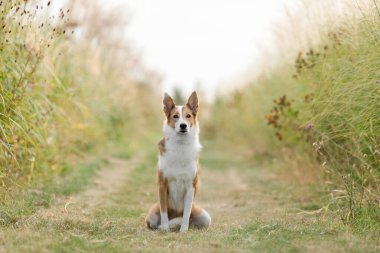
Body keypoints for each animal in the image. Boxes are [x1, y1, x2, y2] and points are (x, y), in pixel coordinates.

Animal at [145, 91, 211, 233]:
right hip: (151, 215)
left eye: (188, 116)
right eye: (175, 116)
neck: (180, 145)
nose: (183, 125)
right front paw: (165, 228)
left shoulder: (191, 187)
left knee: (188, 219)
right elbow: (164, 211)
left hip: (205, 217)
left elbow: (186, 213)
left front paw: (183, 230)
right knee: (156, 222)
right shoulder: (162, 185)